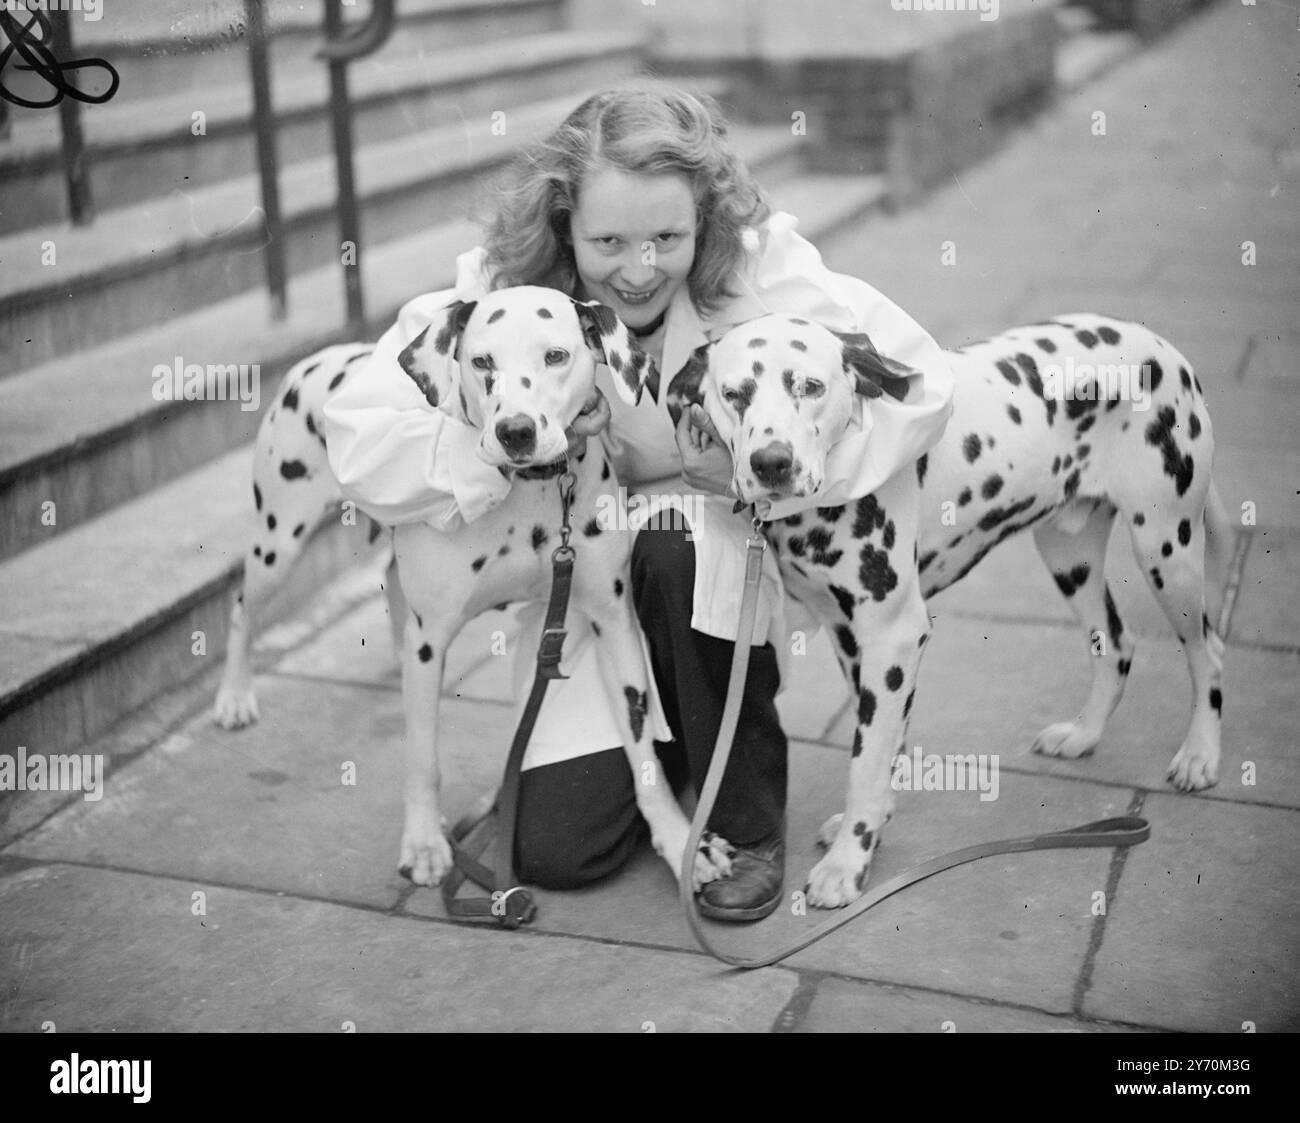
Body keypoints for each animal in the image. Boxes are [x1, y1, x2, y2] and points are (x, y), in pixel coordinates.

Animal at [215, 287, 733, 894]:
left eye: (556, 356)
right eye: (482, 361)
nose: (516, 432)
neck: (531, 494)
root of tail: (319, 359)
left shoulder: (613, 619)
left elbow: (643, 748)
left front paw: (681, 844)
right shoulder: (432, 638)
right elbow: (422, 756)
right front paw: (423, 844)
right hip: (280, 540)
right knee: (242, 607)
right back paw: (233, 697)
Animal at [670, 311, 1227, 909]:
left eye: (810, 387)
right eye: (734, 394)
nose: (771, 463)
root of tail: (1156, 343)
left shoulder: (892, 636)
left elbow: (866, 762)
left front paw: (848, 865)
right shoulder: (852, 638)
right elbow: (880, 743)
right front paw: (875, 824)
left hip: (1167, 549)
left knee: (1208, 652)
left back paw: (1200, 755)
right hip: (1069, 553)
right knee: (1116, 645)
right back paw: (1084, 734)